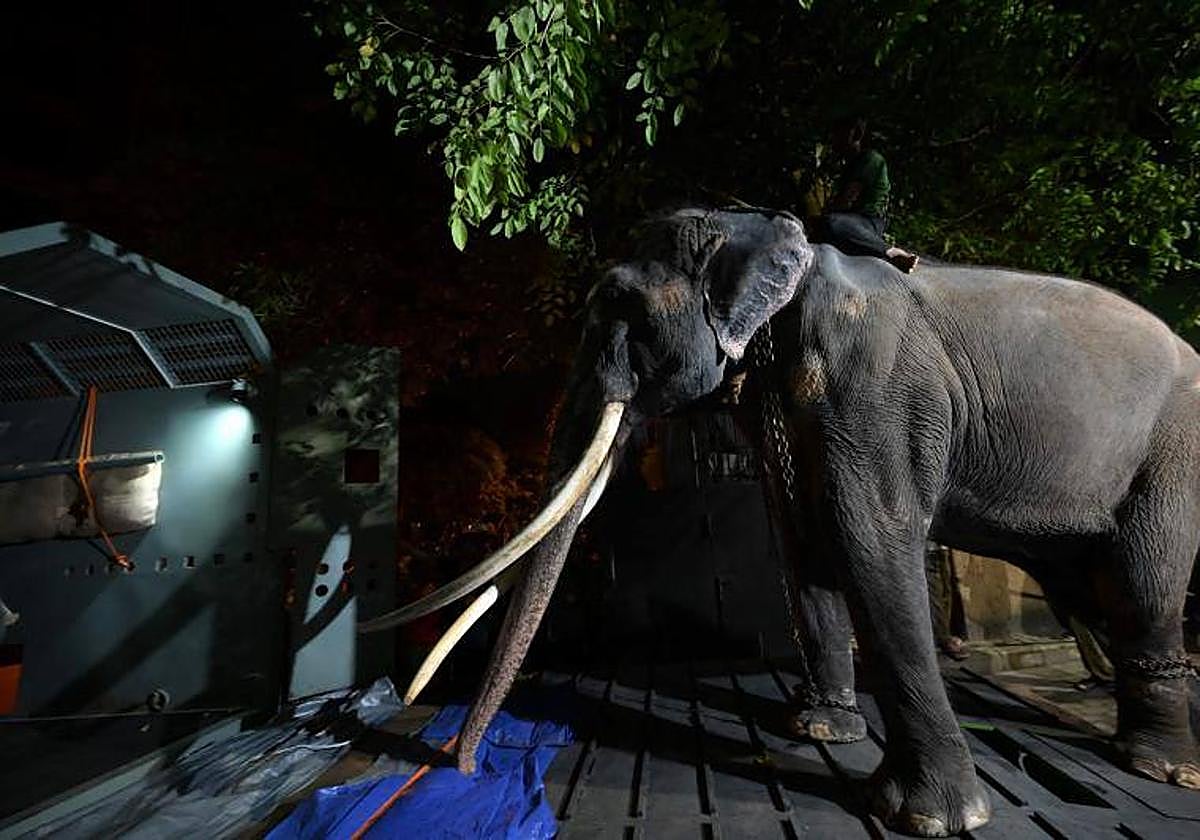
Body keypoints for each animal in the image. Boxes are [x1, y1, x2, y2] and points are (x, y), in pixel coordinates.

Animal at [366, 207, 1200, 837]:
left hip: (1174, 450)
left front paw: (932, 819)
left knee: (1144, 580)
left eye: (622, 307)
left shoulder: (873, 385)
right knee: (1095, 587)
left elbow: (869, 538)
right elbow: (801, 539)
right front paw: (820, 730)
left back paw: (1162, 769)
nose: (461, 765)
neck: (768, 233)